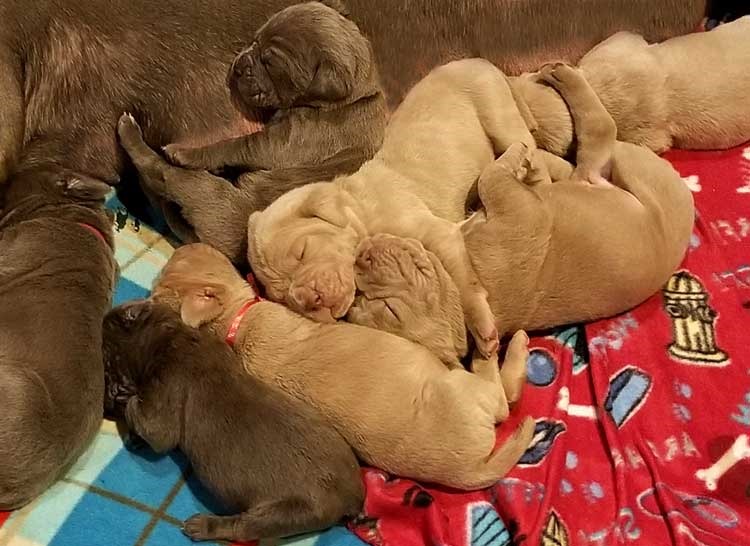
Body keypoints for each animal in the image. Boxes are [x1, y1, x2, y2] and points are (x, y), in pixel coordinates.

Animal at [102, 300, 363, 542]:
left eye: (106, 354)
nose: (106, 400)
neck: (172, 332)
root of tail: (354, 496)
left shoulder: (165, 390)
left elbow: (150, 423)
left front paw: (124, 399)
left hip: (291, 511)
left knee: (245, 528)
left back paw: (201, 526)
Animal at [116, 0, 386, 263]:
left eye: (270, 63)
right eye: (255, 40)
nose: (239, 64)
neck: (355, 96)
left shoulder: (288, 142)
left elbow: (237, 145)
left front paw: (191, 154)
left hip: (211, 196)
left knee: (161, 173)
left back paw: (135, 133)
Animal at [151, 243, 535, 490]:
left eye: (170, 271)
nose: (185, 245)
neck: (233, 323)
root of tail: (471, 471)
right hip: (467, 390)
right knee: (503, 392)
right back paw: (510, 347)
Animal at [346, 64, 695, 358]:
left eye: (384, 306)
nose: (360, 256)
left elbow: (488, 178)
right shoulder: (518, 210)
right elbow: (491, 178)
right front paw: (517, 157)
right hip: (616, 169)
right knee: (599, 135)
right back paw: (561, 81)